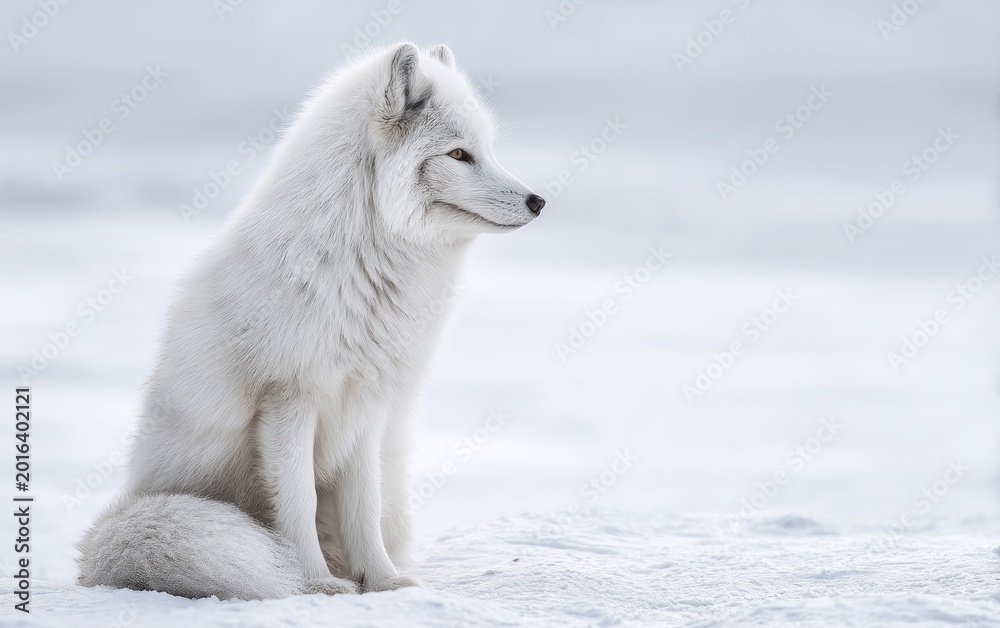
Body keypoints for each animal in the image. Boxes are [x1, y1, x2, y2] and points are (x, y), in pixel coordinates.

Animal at [76, 42, 545, 600]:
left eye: (488, 150)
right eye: (458, 155)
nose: (539, 201)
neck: (360, 264)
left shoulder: (367, 404)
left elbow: (363, 509)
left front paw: (383, 582)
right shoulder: (289, 399)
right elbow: (298, 504)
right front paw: (314, 583)